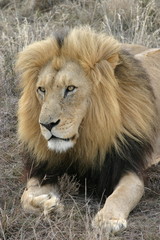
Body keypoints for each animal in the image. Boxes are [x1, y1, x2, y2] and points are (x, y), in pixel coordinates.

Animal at [15, 26, 160, 234]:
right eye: (41, 89)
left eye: (70, 88)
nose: (46, 125)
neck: (84, 137)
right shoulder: (43, 168)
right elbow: (25, 197)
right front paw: (49, 204)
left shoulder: (127, 165)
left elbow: (121, 194)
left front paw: (108, 219)